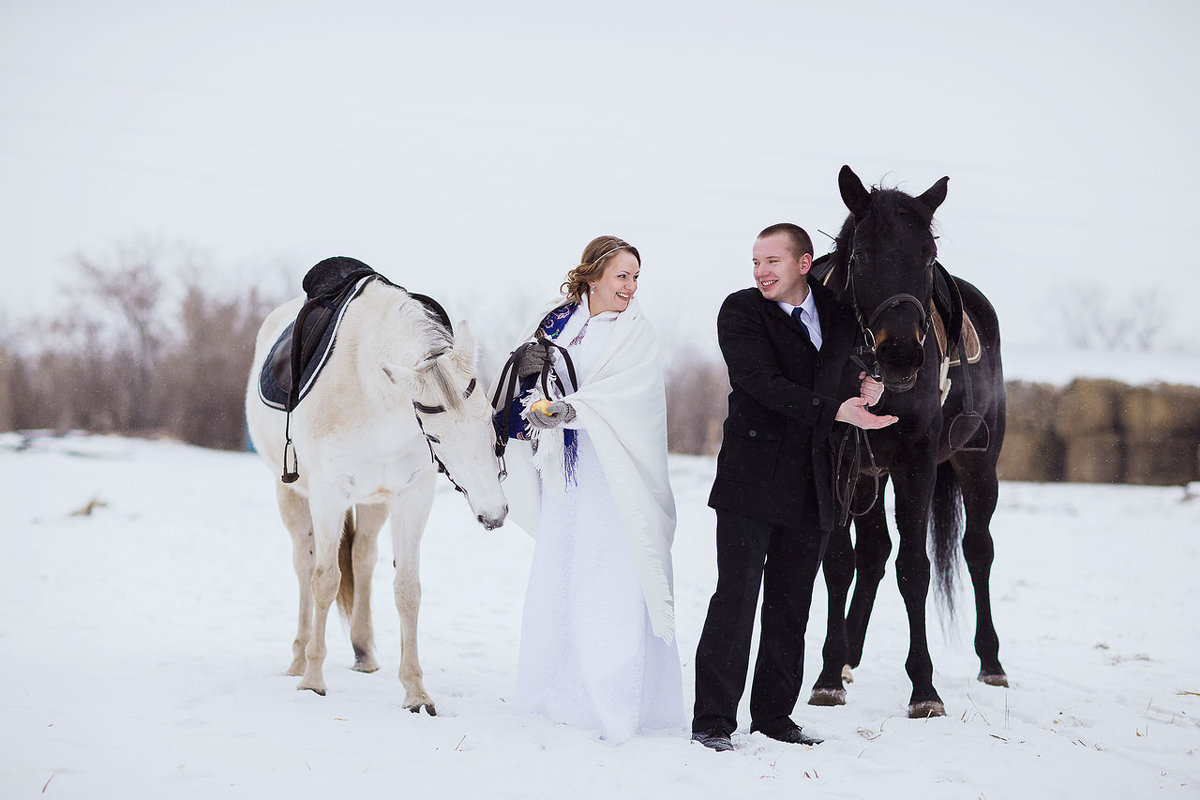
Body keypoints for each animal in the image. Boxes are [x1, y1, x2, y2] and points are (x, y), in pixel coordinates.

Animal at [243, 277, 506, 714]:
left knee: (363, 558)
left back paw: (364, 653)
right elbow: (325, 581)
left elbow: (407, 589)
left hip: (376, 501)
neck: (371, 393)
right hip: (292, 494)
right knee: (305, 564)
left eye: (489, 421)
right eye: (435, 437)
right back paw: (299, 659)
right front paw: (313, 680)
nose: (494, 514)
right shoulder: (328, 495)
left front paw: (416, 692)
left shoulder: (412, 494)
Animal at [811, 165, 1008, 714]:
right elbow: (840, 562)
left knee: (977, 549)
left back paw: (992, 662)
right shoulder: (842, 461)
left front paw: (924, 688)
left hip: (977, 467)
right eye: (860, 256)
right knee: (873, 553)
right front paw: (828, 675)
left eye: (928, 256)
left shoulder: (916, 463)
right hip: (868, 475)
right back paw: (848, 656)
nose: (900, 354)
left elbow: (915, 569)